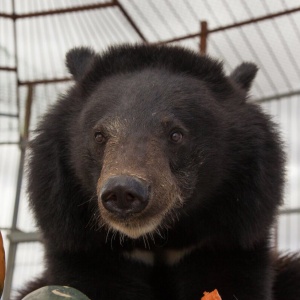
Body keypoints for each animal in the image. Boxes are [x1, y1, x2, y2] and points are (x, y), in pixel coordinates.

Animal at [18, 45, 300, 300]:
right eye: (99, 135)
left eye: (176, 134)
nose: (122, 192)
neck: (156, 240)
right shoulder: (82, 240)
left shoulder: (230, 233)